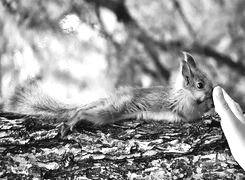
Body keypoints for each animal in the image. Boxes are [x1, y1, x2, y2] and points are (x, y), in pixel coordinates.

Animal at [1, 52, 213, 136]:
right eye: (200, 85)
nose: (211, 96)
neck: (184, 94)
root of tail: (113, 98)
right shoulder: (182, 105)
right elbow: (191, 113)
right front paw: (209, 106)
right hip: (112, 110)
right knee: (82, 113)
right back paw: (71, 122)